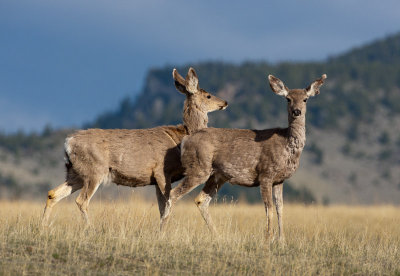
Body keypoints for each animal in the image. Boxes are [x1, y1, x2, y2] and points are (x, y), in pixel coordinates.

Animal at [41, 68, 228, 227]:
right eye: (208, 95)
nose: (225, 102)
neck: (180, 138)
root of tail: (68, 142)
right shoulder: (161, 171)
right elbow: (167, 204)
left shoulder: (156, 179)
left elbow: (162, 207)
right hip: (94, 170)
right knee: (81, 201)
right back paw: (90, 229)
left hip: (75, 172)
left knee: (53, 193)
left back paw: (43, 227)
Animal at [167, 73, 326, 242]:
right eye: (288, 99)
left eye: (305, 99)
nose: (297, 111)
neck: (287, 146)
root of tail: (186, 139)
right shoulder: (265, 173)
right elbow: (268, 208)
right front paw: (268, 238)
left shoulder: (280, 179)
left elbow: (280, 208)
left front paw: (282, 240)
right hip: (198, 168)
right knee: (173, 194)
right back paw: (163, 232)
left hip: (216, 175)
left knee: (200, 200)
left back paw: (218, 236)